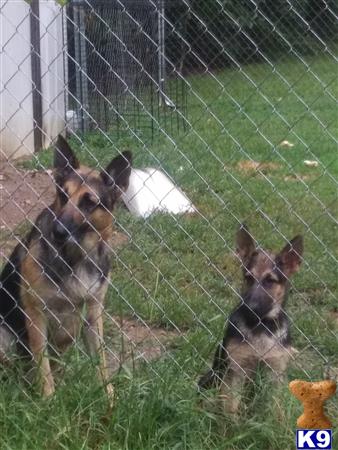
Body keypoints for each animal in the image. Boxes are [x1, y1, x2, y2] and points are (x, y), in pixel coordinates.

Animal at [0, 135, 132, 400]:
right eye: (62, 194)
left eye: (89, 203)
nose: (58, 232)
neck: (77, 258)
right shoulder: (36, 314)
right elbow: (43, 365)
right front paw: (48, 399)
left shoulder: (93, 314)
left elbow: (101, 361)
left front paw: (108, 396)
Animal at [198, 227, 304, 414]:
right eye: (248, 278)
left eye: (270, 281)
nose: (249, 307)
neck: (261, 326)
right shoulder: (236, 371)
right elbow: (230, 408)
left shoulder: (275, 374)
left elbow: (276, 410)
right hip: (213, 377)